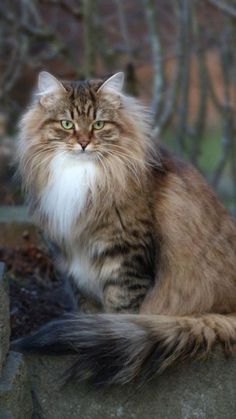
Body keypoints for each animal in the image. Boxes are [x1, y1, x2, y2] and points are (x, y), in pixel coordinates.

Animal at [12, 70, 236, 386]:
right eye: (67, 124)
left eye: (98, 124)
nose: (83, 142)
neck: (80, 177)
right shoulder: (72, 263)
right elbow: (87, 307)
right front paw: (84, 332)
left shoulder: (125, 256)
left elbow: (121, 309)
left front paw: (101, 334)